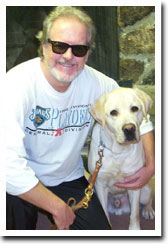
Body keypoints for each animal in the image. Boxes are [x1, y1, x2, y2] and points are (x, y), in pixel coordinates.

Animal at [88, 87, 155, 229]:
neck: (118, 151)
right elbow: (104, 213)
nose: (129, 129)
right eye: (113, 112)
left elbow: (134, 214)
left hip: (145, 189)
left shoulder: (135, 184)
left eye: (135, 108)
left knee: (147, 201)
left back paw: (148, 210)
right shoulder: (100, 185)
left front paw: (135, 229)